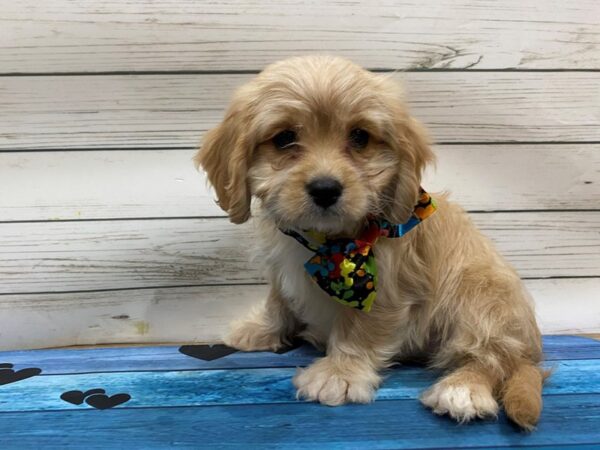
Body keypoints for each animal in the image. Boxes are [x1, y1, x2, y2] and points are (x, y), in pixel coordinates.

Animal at [196, 55, 544, 428]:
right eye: (285, 138)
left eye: (360, 137)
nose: (325, 189)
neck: (324, 243)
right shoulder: (280, 268)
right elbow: (279, 300)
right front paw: (260, 329)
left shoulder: (385, 287)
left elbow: (360, 328)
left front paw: (339, 373)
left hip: (482, 296)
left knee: (492, 357)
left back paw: (462, 389)